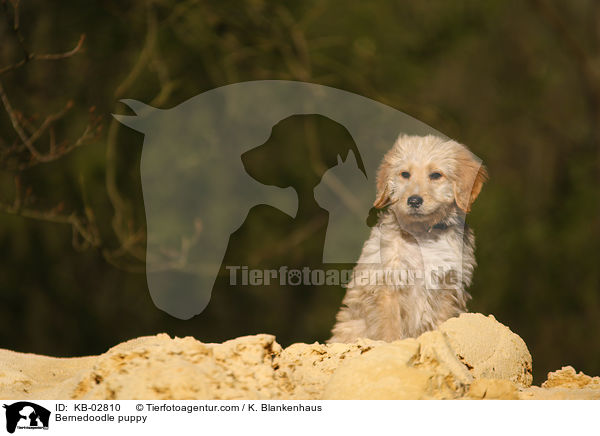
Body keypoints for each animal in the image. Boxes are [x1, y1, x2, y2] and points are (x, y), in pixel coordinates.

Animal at [328, 135, 488, 342]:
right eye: (405, 174)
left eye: (436, 175)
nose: (413, 200)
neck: (422, 235)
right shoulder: (387, 285)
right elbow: (390, 330)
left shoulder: (449, 287)